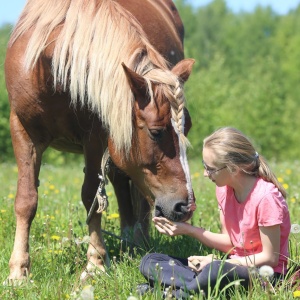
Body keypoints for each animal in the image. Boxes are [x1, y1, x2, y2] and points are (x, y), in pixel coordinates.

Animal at [5, 0, 196, 282]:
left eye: (188, 128)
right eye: (155, 131)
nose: (186, 205)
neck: (51, 66)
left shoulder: (95, 137)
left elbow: (90, 198)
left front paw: (95, 262)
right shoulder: (22, 129)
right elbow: (26, 199)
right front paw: (18, 270)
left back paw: (138, 241)